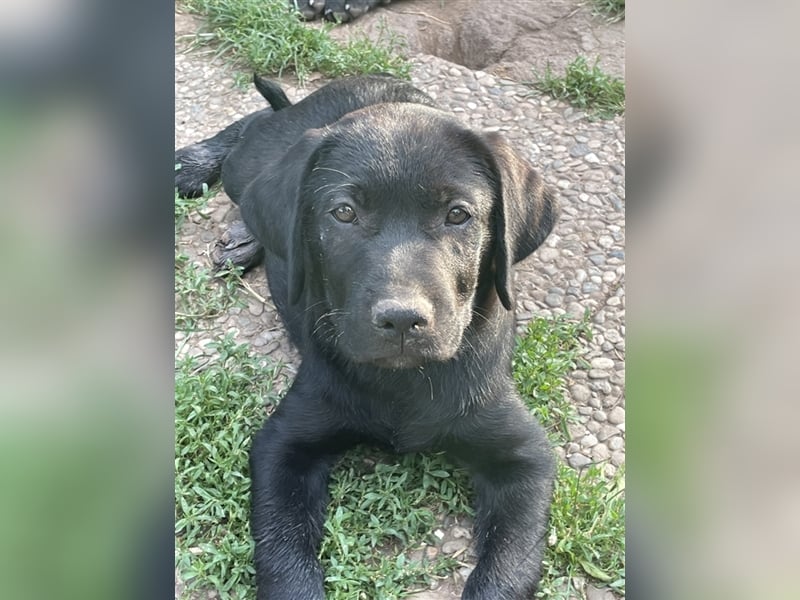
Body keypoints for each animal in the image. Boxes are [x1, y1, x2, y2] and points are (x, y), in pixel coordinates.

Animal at [174, 75, 560, 600]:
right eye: (343, 213)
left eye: (458, 214)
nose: (401, 320)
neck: (403, 382)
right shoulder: (284, 443)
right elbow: (283, 556)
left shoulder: (524, 456)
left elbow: (509, 569)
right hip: (251, 162)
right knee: (252, 132)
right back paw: (196, 168)